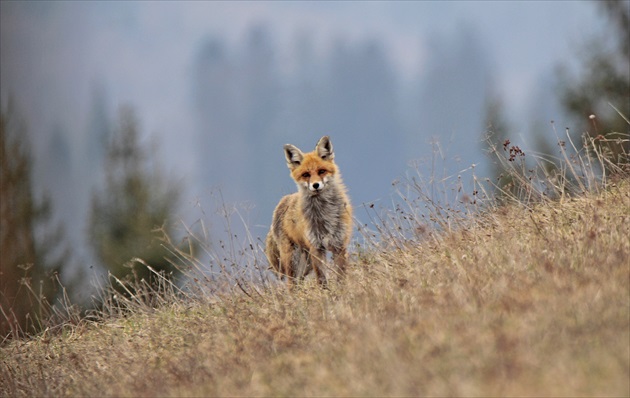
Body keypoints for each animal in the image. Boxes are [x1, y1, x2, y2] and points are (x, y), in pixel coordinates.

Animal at [266, 136, 356, 286]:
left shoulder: (339, 245)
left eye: (321, 171)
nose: (315, 185)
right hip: (293, 261)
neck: (324, 213)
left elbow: (341, 277)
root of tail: (282, 202)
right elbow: (322, 280)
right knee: (291, 285)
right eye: (306, 174)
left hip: (305, 265)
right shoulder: (316, 248)